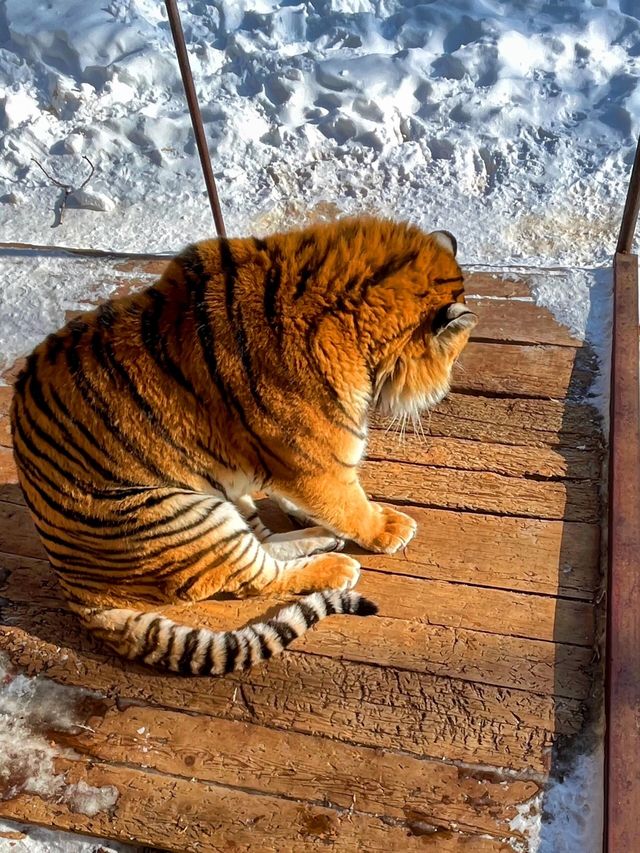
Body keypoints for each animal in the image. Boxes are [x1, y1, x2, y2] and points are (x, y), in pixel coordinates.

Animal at [11, 216, 476, 676]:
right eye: (453, 355)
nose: (443, 393)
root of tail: (72, 582)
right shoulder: (318, 463)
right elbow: (351, 505)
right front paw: (386, 529)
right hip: (177, 513)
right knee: (257, 577)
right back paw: (336, 563)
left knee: (262, 540)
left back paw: (321, 538)